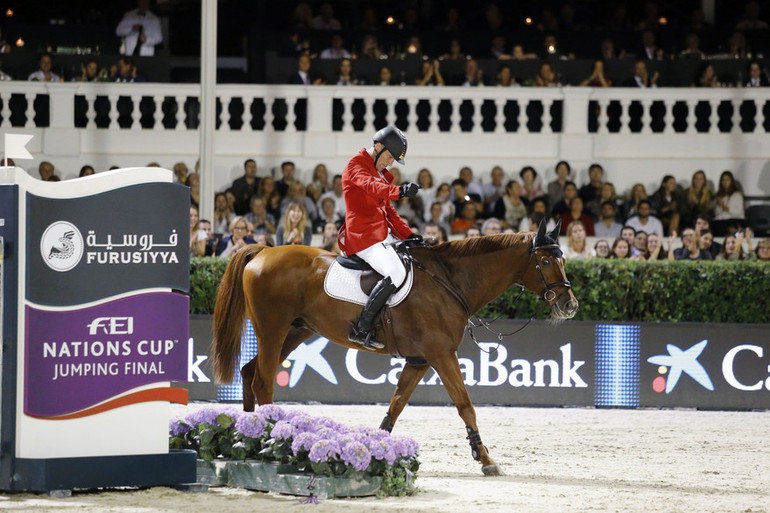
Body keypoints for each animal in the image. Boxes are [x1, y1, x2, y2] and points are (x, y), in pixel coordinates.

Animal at [212, 221, 576, 476]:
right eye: (546, 261)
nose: (570, 305)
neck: (449, 282)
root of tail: (263, 251)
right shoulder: (442, 355)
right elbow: (465, 405)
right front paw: (485, 458)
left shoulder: (420, 360)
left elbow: (397, 404)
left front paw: (375, 447)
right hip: (272, 329)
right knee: (263, 381)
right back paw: (266, 437)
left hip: (295, 332)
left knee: (249, 373)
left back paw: (247, 439)